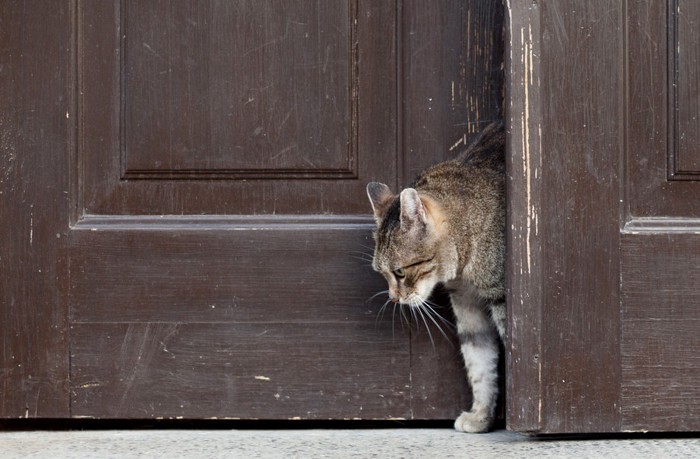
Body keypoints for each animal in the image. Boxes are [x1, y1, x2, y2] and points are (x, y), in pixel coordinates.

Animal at [366, 120, 504, 434]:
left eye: (399, 272)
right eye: (381, 273)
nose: (393, 299)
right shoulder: (467, 303)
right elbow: (479, 362)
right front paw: (481, 416)